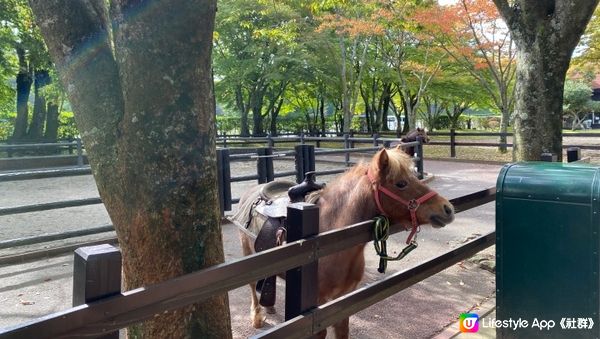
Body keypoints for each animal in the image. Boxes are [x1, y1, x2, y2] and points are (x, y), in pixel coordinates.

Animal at [232, 147, 452, 338]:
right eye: (401, 183)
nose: (447, 208)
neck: (330, 239)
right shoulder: (318, 306)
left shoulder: (344, 300)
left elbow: (342, 330)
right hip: (247, 252)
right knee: (251, 286)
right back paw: (257, 316)